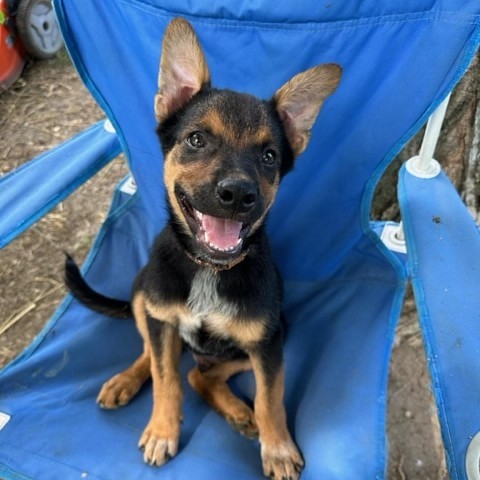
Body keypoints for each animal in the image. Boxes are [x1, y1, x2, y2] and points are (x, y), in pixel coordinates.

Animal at [65, 16, 342, 478]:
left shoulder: (267, 342)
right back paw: (126, 379)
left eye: (269, 156)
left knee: (201, 375)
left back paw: (238, 412)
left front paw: (277, 448)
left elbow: (270, 398)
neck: (209, 268)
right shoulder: (161, 317)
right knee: (156, 357)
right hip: (143, 297)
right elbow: (165, 379)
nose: (238, 194)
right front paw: (162, 430)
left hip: (276, 329)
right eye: (196, 140)